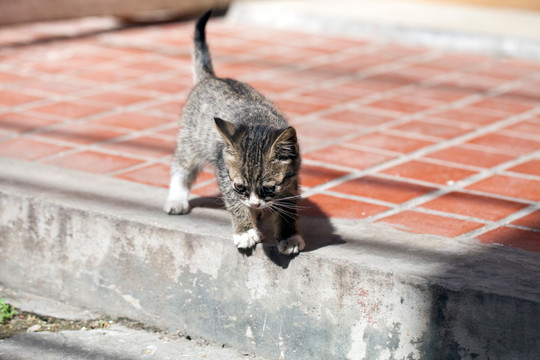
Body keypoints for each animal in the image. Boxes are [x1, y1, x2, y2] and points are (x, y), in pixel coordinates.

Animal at [162, 11, 306, 256]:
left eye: (269, 188)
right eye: (240, 187)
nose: (255, 203)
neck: (257, 121)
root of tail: (211, 78)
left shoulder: (292, 178)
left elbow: (287, 205)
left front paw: (288, 236)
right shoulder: (225, 173)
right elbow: (235, 202)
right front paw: (245, 231)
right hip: (191, 140)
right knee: (182, 167)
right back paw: (177, 198)